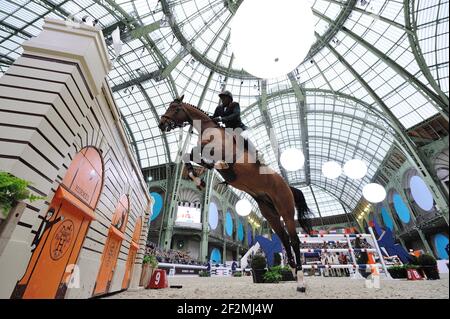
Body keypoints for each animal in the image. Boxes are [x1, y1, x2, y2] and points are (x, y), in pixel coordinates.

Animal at [159, 95, 312, 292]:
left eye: (175, 108)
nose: (161, 124)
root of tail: (287, 186)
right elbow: (188, 156)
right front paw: (199, 180)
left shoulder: (216, 149)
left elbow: (200, 155)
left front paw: (214, 168)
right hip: (269, 213)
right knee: (284, 239)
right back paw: (293, 271)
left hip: (285, 209)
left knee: (294, 241)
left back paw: (301, 281)